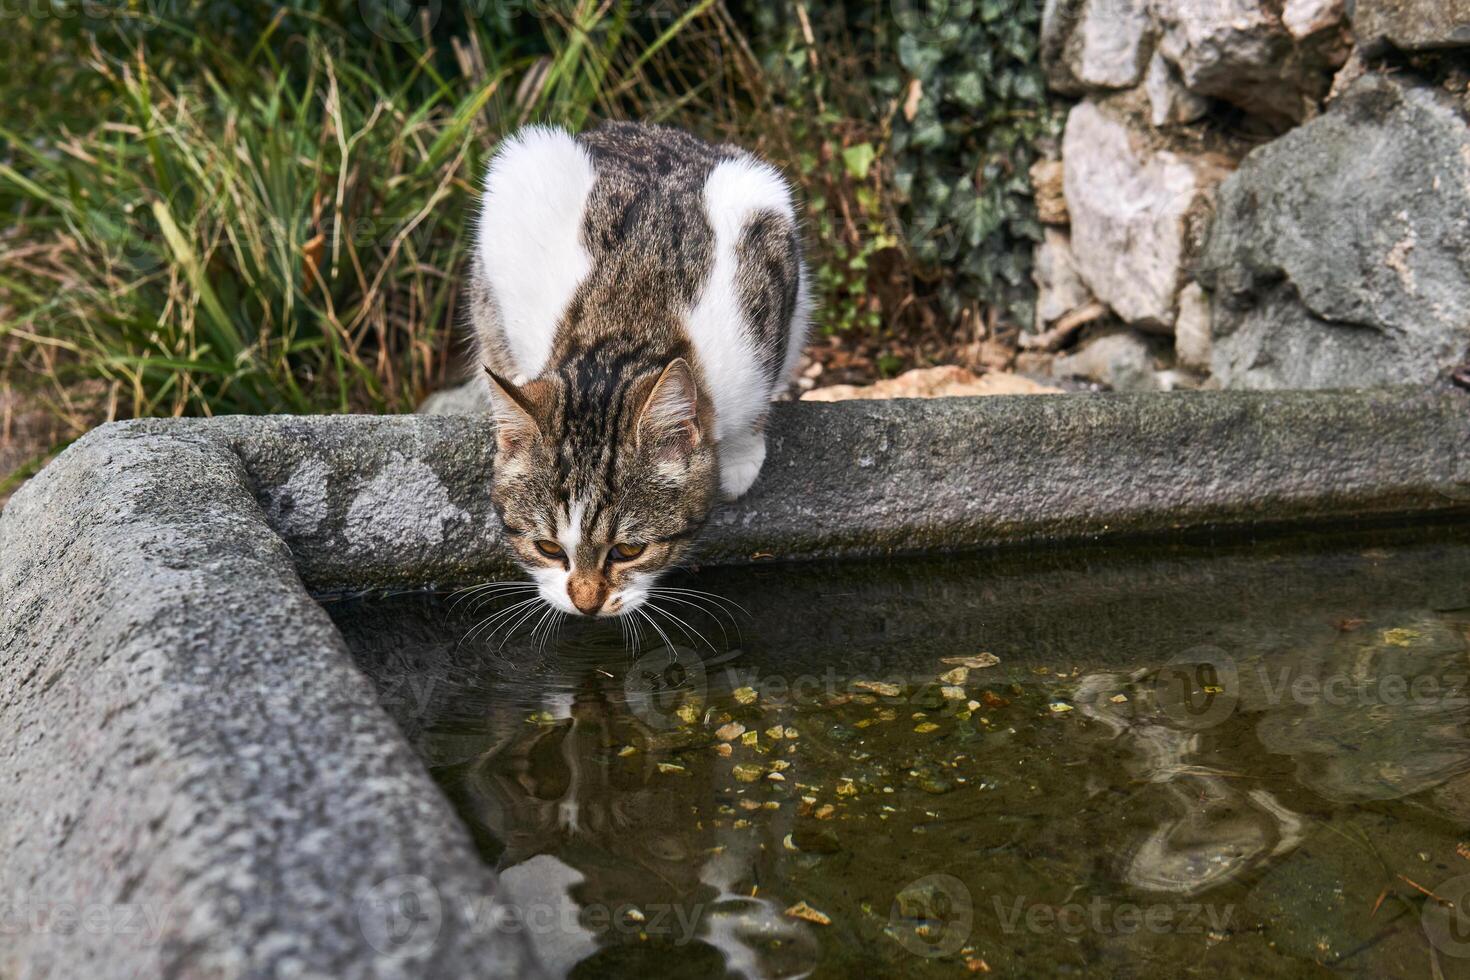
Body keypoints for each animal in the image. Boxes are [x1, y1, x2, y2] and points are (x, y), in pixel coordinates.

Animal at [470, 119, 811, 617]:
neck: (623, 334)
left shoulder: (768, 291)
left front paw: (740, 457)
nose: (586, 604)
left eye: (628, 551)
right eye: (549, 548)